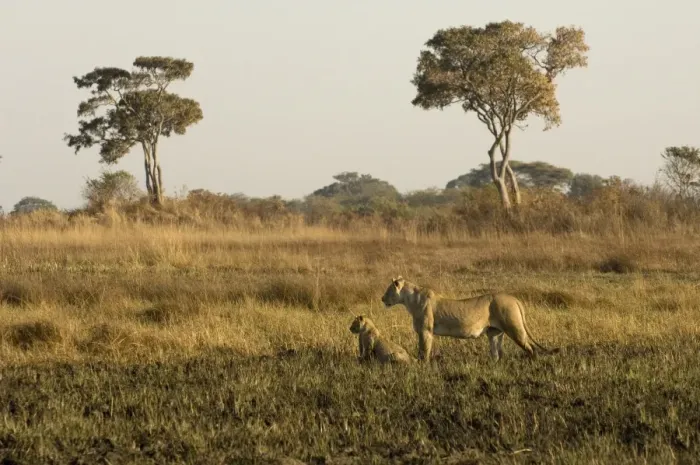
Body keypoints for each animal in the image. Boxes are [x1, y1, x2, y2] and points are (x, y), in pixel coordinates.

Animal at [380, 276, 557, 362]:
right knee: (497, 353)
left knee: (530, 348)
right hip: (495, 333)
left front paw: (422, 365)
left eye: (388, 290)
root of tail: (514, 299)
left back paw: (532, 363)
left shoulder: (425, 331)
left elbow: (423, 351)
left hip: (514, 328)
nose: (382, 299)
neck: (409, 300)